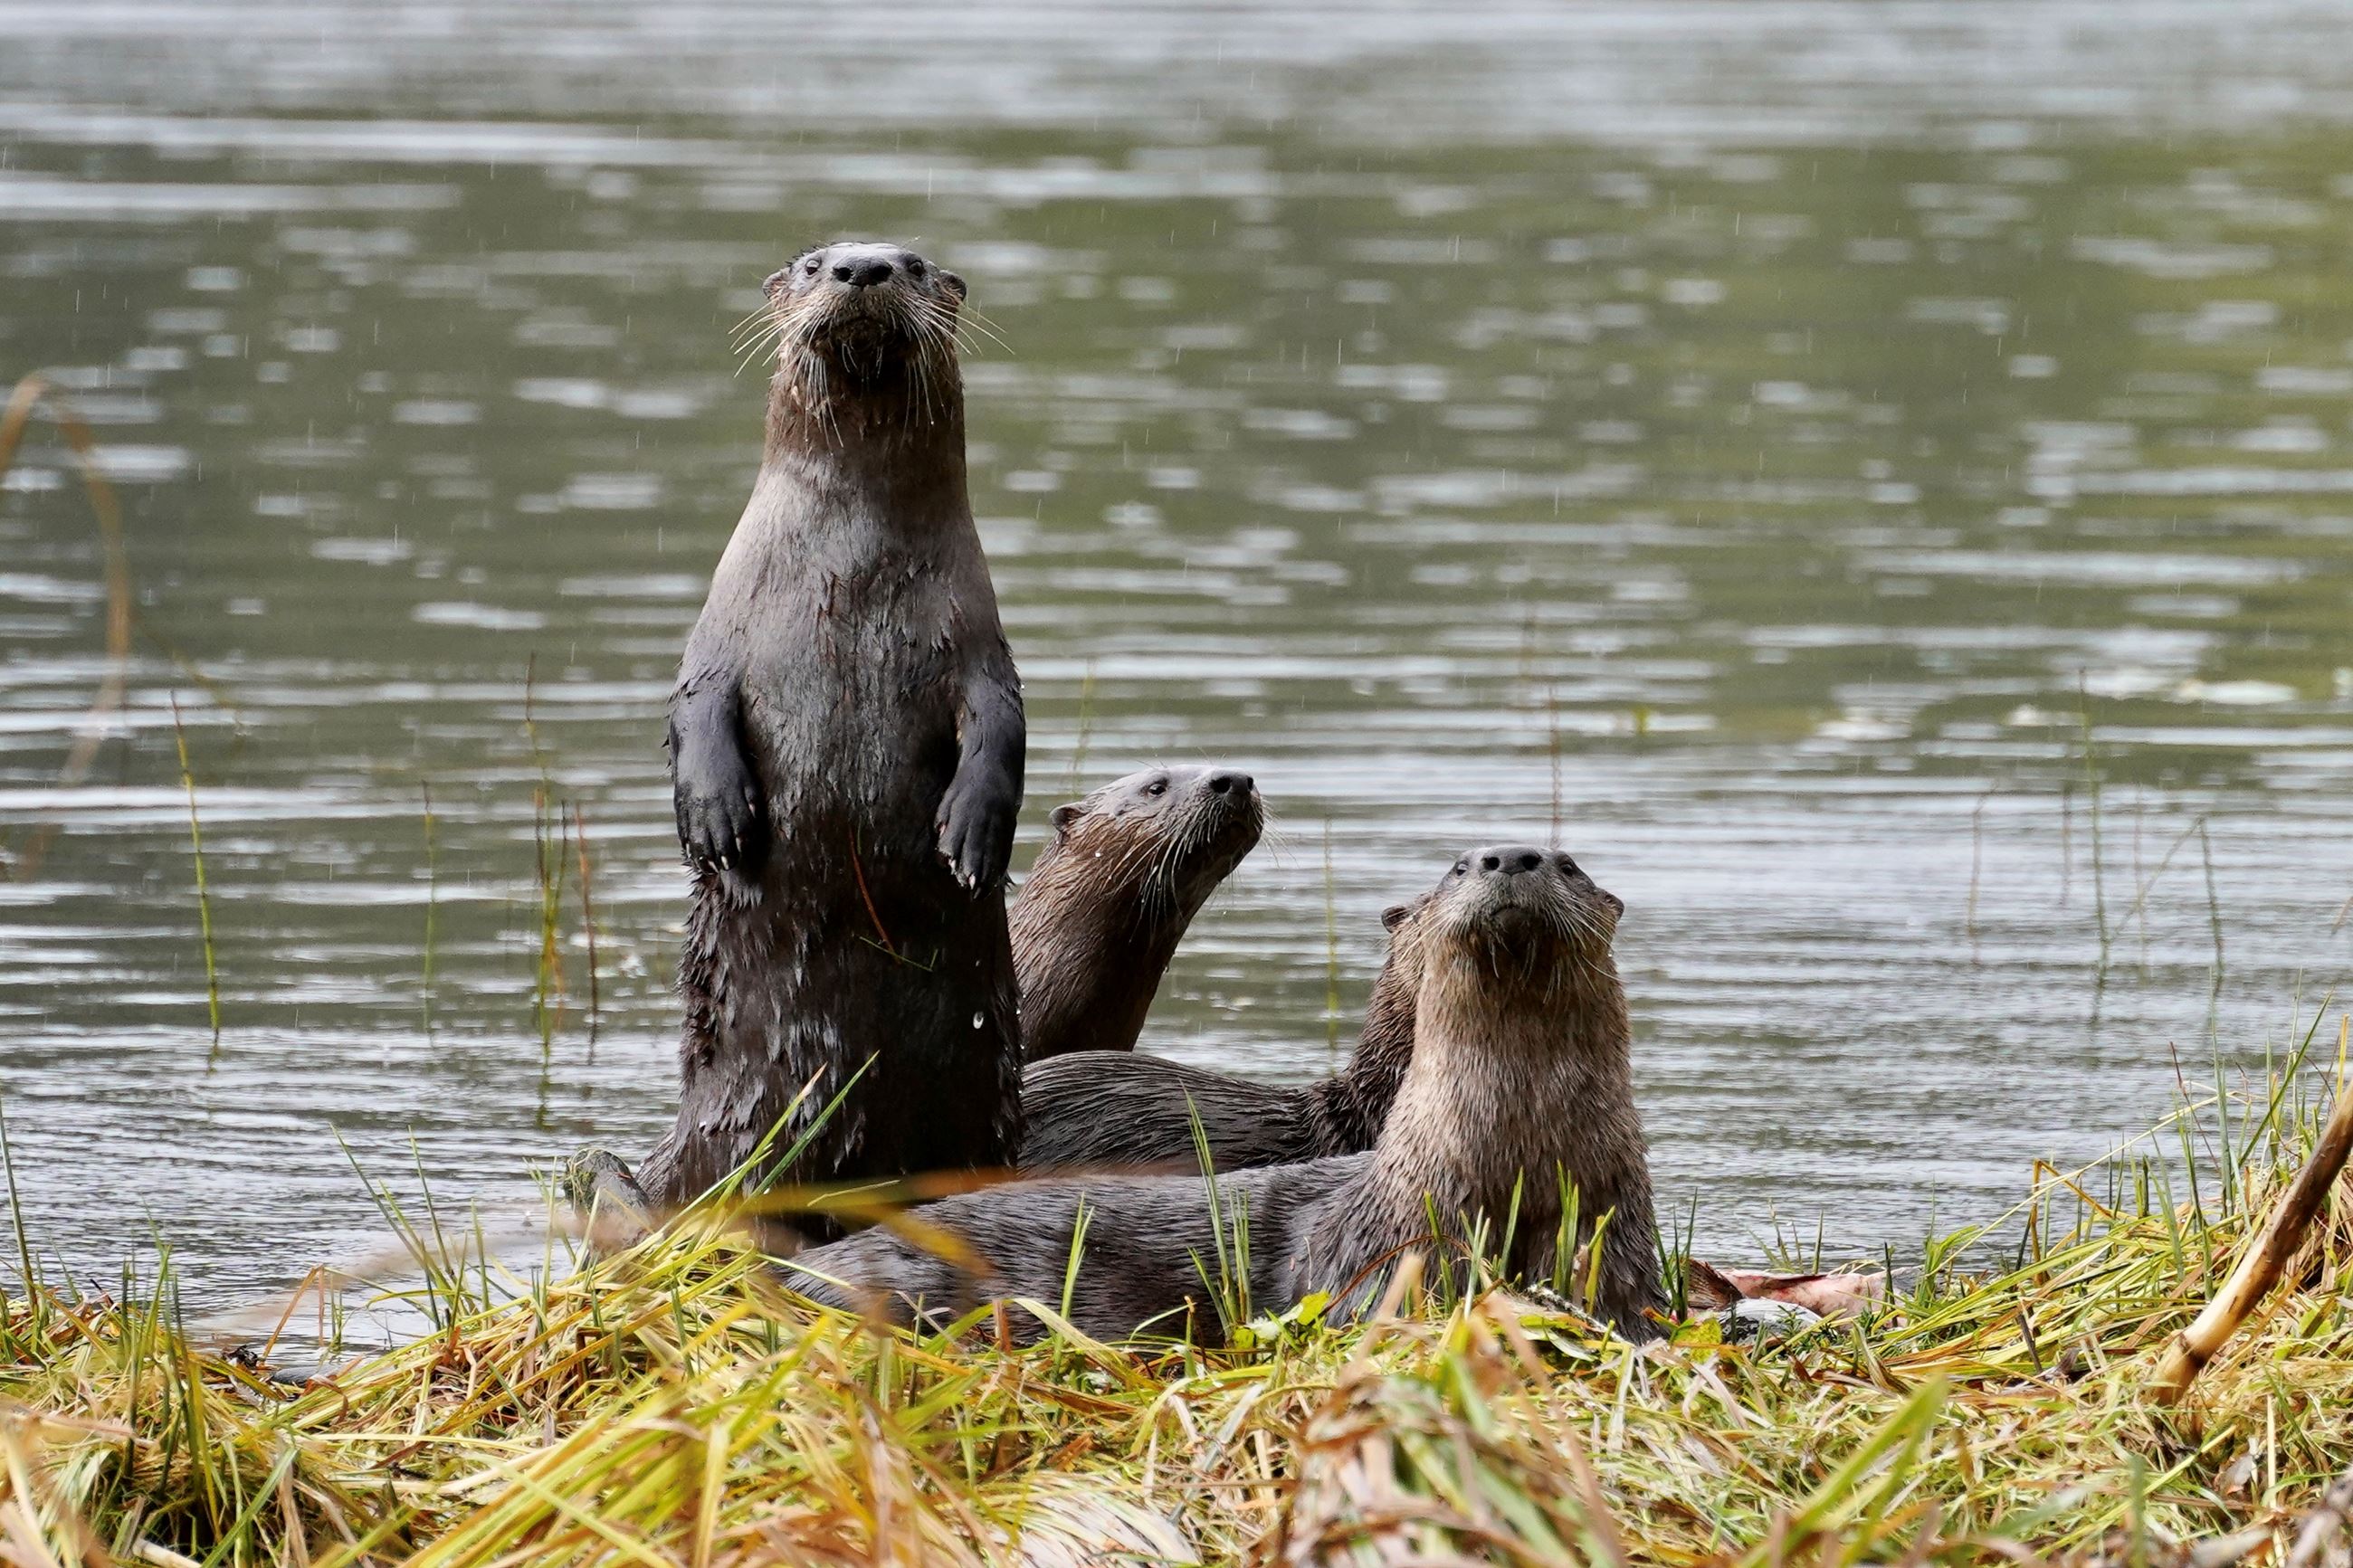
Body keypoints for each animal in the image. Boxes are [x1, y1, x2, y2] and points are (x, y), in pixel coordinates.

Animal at [609, 241, 1025, 1218]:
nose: (862, 265)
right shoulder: (719, 635)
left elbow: (1001, 727)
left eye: (915, 261)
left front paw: (972, 833)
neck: (850, 569)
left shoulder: (980, 645)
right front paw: (717, 820)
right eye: (809, 263)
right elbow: (692, 709)